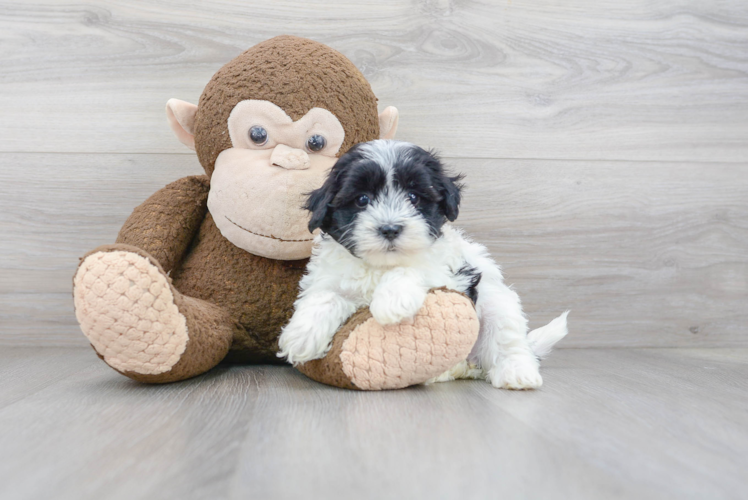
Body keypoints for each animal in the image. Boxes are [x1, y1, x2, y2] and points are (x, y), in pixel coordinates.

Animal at [278, 139, 568, 388]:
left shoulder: (452, 275)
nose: (390, 228)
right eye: (362, 199)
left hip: (497, 302)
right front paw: (301, 336)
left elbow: (414, 268)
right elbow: (325, 296)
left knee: (508, 340)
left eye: (414, 197)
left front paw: (392, 301)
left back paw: (517, 373)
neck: (381, 266)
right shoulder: (329, 277)